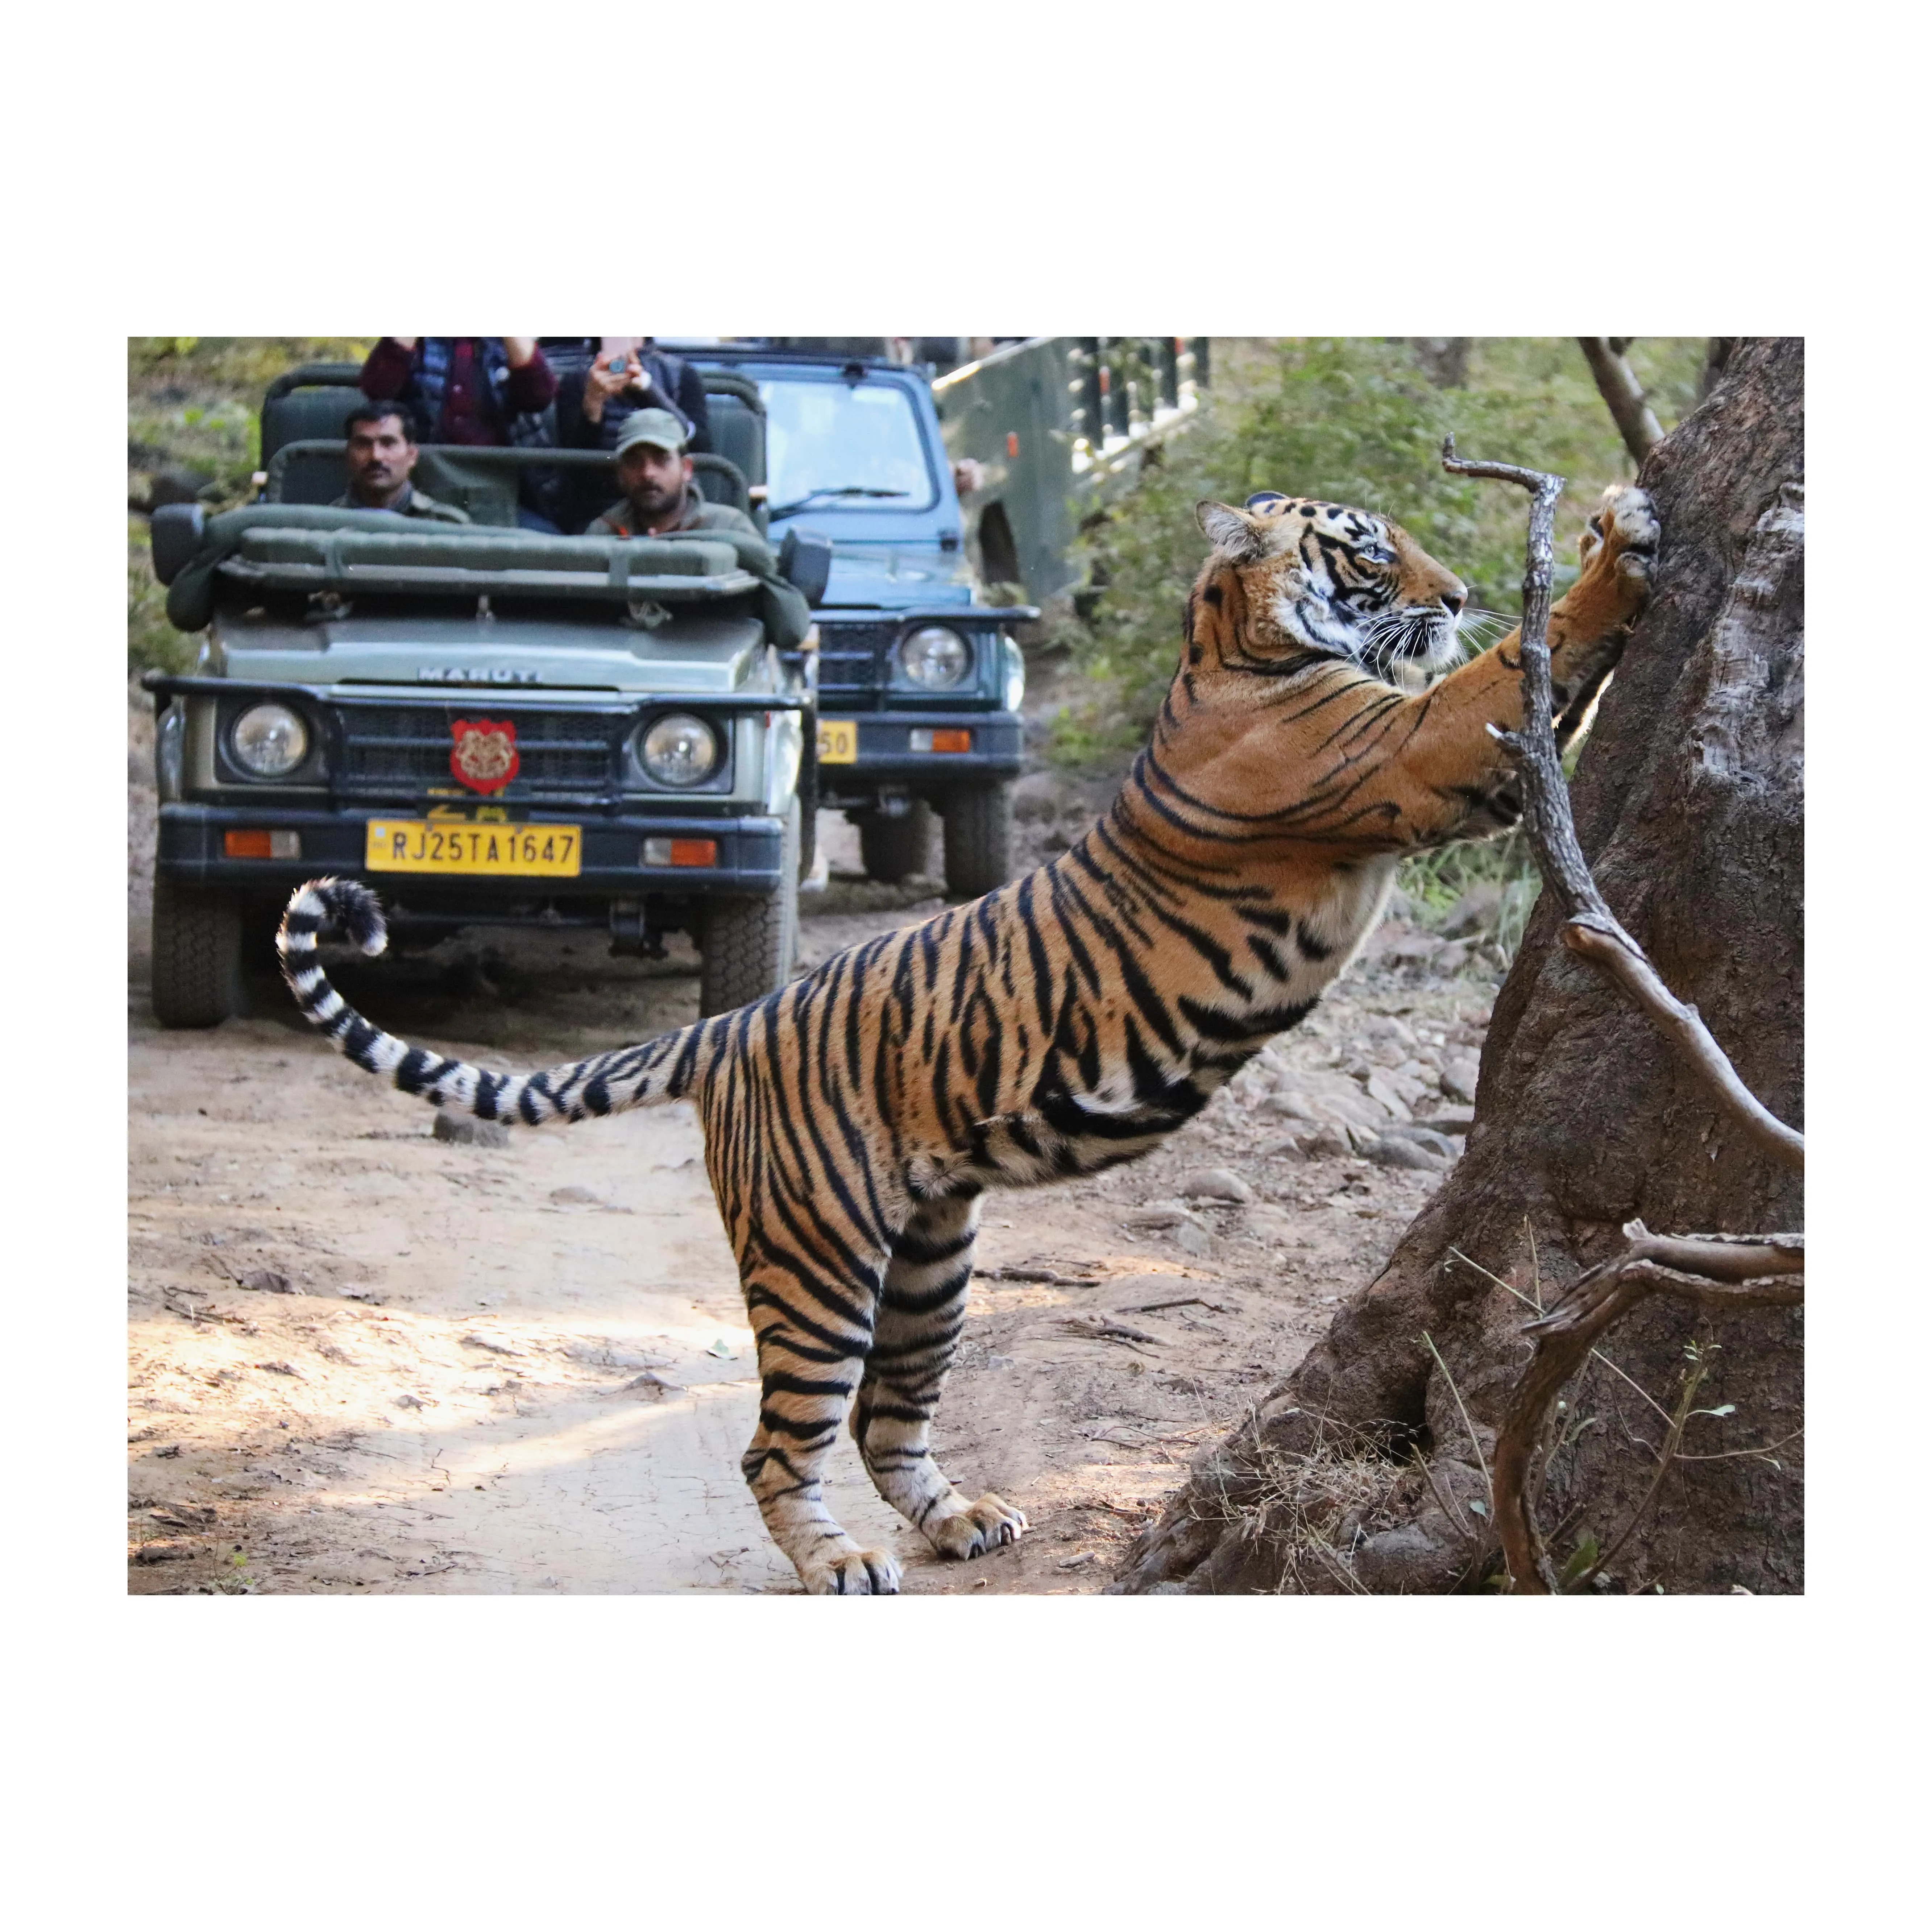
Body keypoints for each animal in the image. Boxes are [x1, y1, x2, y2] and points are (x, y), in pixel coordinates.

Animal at [276, 481, 1659, 1594]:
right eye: (1369, 551)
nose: (1460, 591)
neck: (1227, 645)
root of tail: (734, 1022)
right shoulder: (1412, 747)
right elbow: (1507, 669)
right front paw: (1620, 534)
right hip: (816, 1255)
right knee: (779, 1439)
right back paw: (841, 1563)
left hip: (931, 1259)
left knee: (888, 1418)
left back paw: (960, 1522)